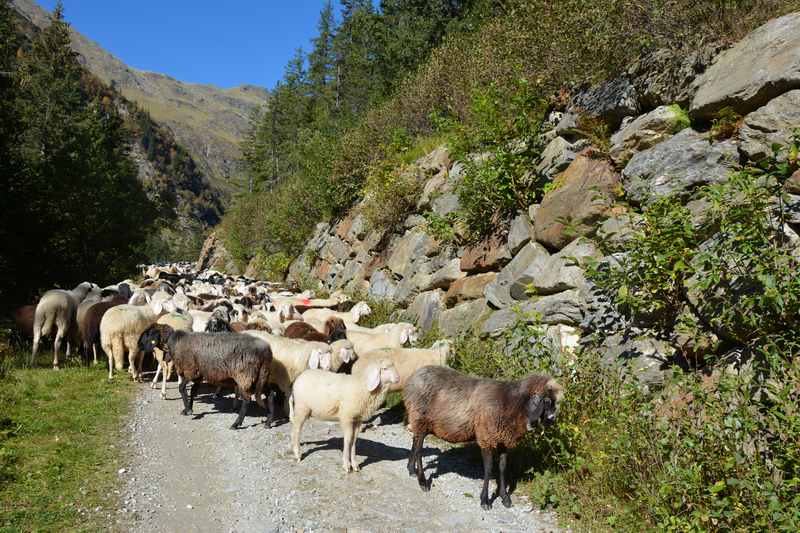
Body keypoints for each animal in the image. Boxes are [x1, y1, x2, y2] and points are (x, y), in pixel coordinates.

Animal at [400, 364, 564, 510]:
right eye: (545, 401)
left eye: (553, 401)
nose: (552, 419)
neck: (511, 404)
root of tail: (412, 377)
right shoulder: (487, 438)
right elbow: (488, 469)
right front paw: (485, 500)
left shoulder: (504, 441)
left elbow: (502, 468)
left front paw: (505, 498)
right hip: (420, 417)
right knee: (419, 450)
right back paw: (422, 481)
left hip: (422, 422)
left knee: (415, 441)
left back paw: (411, 469)